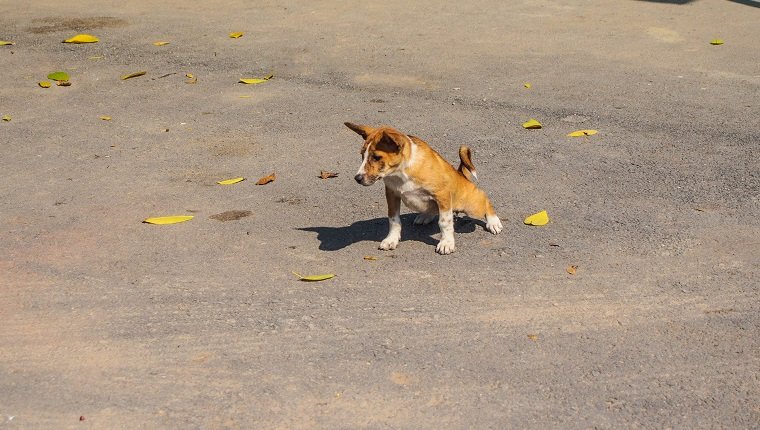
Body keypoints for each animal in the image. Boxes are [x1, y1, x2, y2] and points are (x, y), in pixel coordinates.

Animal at [346, 122, 502, 254]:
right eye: (362, 155)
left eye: (377, 157)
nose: (357, 178)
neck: (401, 173)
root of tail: (461, 174)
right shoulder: (391, 194)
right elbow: (393, 220)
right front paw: (391, 239)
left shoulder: (442, 195)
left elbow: (444, 222)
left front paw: (446, 243)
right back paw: (425, 216)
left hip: (471, 206)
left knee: (484, 198)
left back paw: (493, 222)